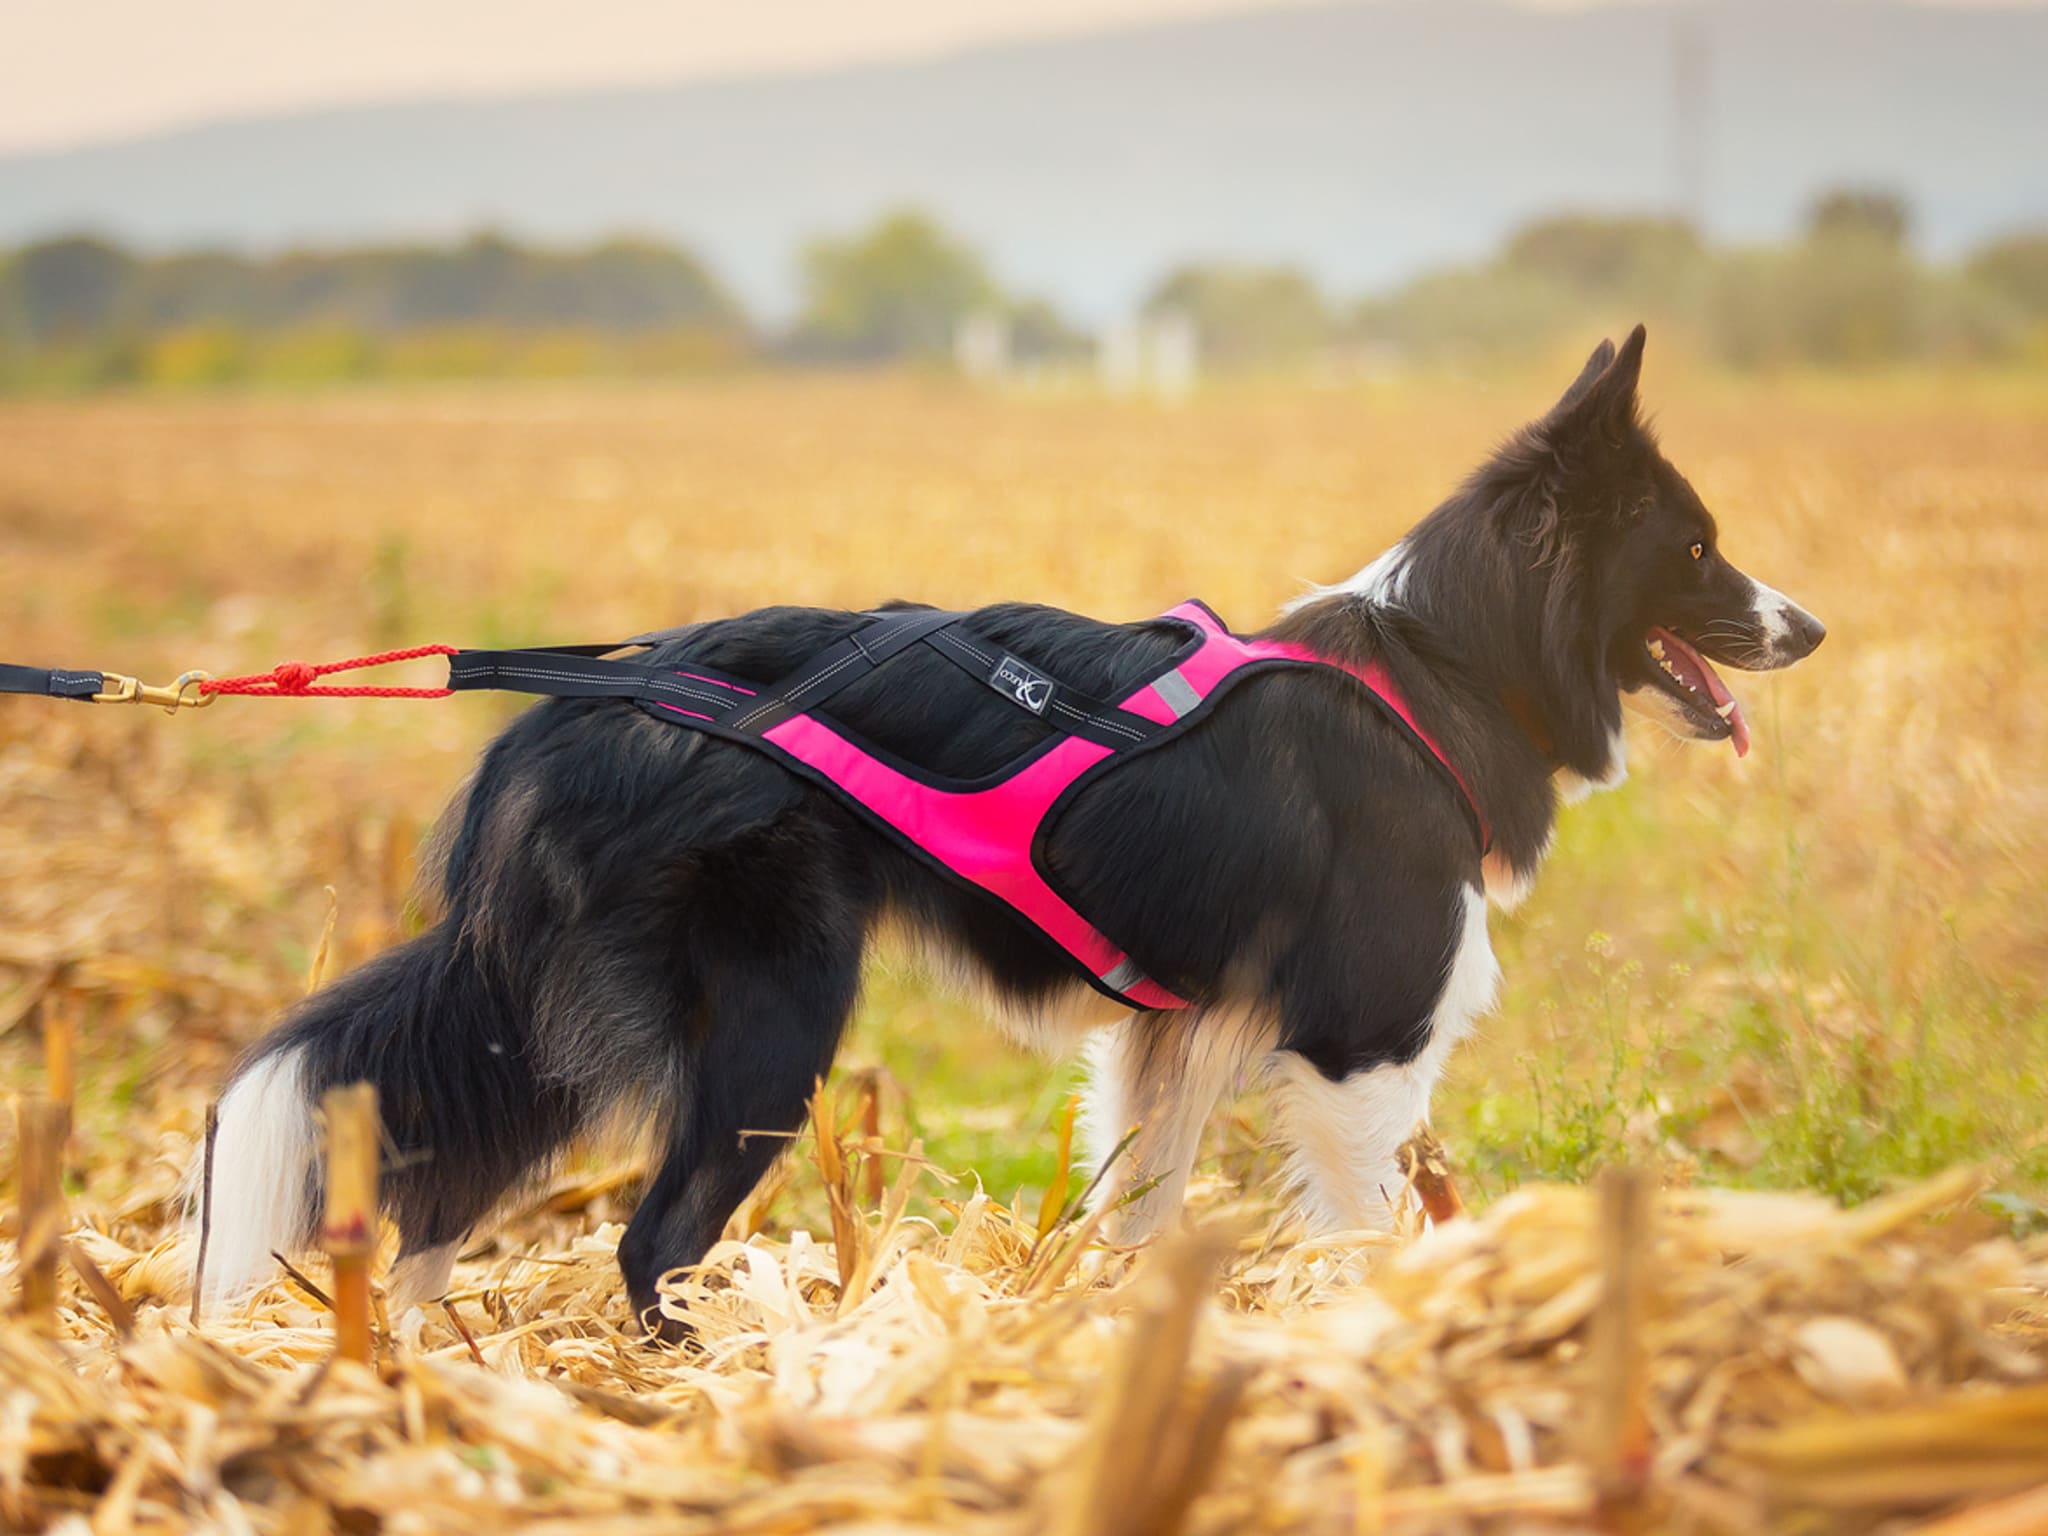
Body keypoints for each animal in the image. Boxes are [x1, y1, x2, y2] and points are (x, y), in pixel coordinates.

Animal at [192, 325, 1823, 1332]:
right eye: (1694, 549)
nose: (1810, 630)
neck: (1444, 662)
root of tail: (563, 724)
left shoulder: (1174, 1042)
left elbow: (1143, 1215)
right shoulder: (1363, 1047)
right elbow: (1372, 1230)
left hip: (542, 1026)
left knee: (437, 1199)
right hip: (769, 1025)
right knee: (644, 1241)